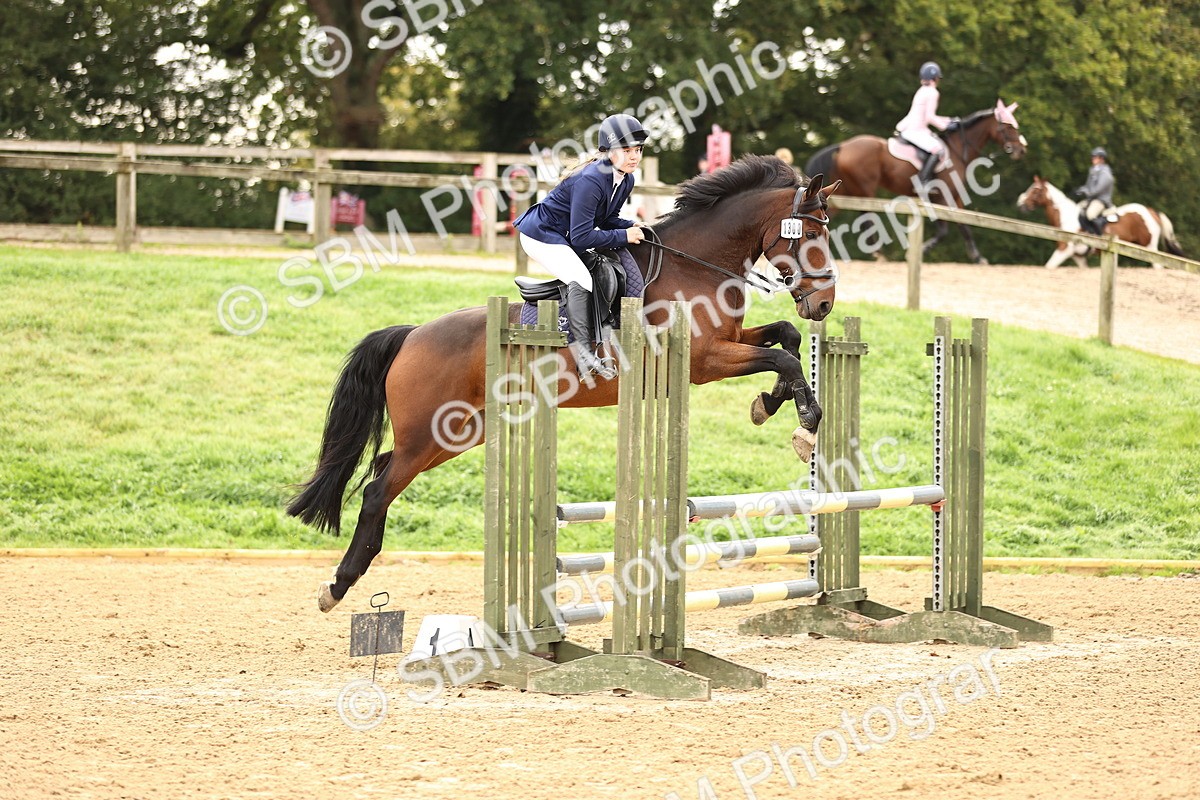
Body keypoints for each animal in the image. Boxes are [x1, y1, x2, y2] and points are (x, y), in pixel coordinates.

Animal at [287, 155, 844, 611]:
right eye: (810, 235)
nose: (824, 304)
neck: (696, 266)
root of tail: (411, 336)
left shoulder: (728, 343)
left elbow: (787, 339)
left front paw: (770, 404)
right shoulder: (705, 360)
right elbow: (783, 358)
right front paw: (806, 426)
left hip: (458, 435)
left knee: (382, 469)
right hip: (428, 436)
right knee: (376, 490)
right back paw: (338, 585)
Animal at [805, 100, 1027, 264]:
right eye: (1009, 126)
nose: (1021, 150)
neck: (958, 149)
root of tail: (843, 146)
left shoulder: (954, 197)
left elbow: (964, 226)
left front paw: (977, 257)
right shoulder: (942, 197)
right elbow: (944, 230)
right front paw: (924, 248)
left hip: (848, 189)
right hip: (865, 189)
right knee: (866, 217)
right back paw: (878, 254)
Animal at [1016, 175, 1185, 269]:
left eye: (1036, 190)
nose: (1020, 203)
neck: (1066, 217)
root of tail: (1150, 211)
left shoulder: (1064, 250)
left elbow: (1049, 266)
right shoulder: (1078, 257)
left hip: (1149, 248)